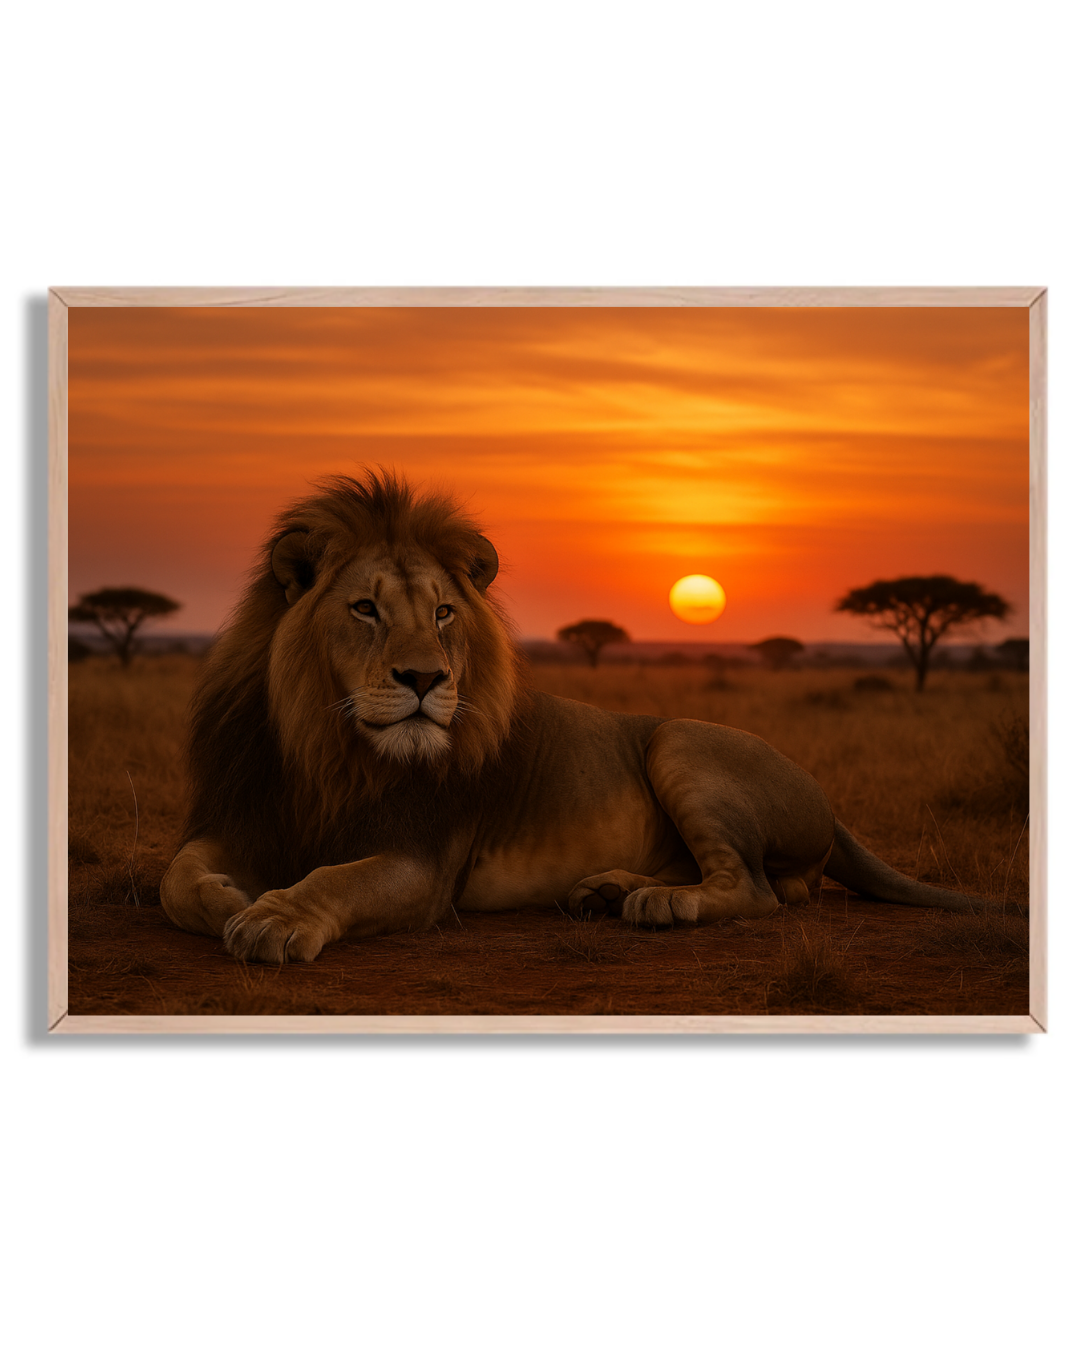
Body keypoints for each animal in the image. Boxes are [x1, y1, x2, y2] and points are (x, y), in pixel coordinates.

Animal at [161, 471, 987, 963]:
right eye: (365, 609)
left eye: (443, 613)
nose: (426, 679)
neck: (328, 747)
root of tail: (828, 801)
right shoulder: (247, 815)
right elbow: (178, 878)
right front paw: (233, 897)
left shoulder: (422, 862)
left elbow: (339, 878)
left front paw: (273, 917)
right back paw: (608, 890)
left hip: (678, 739)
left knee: (755, 889)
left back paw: (655, 902)